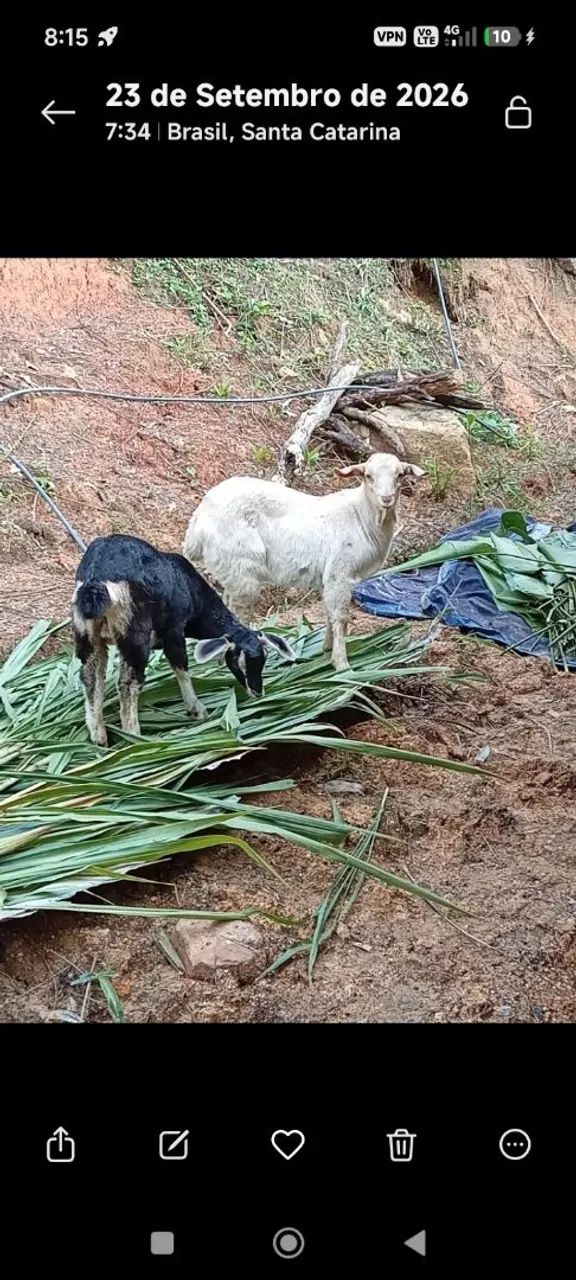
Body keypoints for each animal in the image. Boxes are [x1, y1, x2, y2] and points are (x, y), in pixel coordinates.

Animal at [71, 534, 295, 746]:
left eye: (264, 660)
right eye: (237, 661)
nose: (257, 692)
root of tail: (96, 582)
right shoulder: (174, 629)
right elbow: (180, 665)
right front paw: (197, 710)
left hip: (86, 633)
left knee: (91, 676)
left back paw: (98, 736)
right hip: (135, 633)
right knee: (128, 683)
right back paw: (134, 736)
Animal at [183, 452, 424, 670]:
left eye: (400, 475)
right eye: (368, 476)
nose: (386, 499)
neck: (362, 516)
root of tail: (197, 525)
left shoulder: (330, 579)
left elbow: (329, 613)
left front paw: (326, 650)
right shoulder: (339, 572)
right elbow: (341, 617)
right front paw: (342, 665)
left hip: (231, 569)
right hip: (242, 566)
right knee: (240, 611)